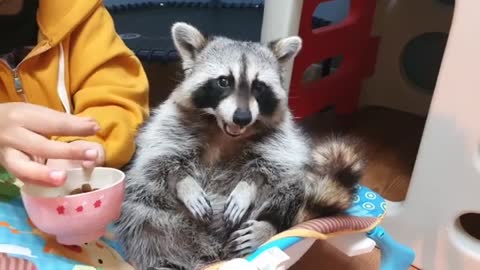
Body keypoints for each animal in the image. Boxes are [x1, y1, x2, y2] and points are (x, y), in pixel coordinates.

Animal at [114, 21, 366, 270]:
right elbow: (161, 157)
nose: (242, 117)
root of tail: (214, 248)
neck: (224, 130)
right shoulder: (170, 124)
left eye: (259, 86)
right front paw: (186, 183)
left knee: (290, 187)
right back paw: (164, 260)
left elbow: (273, 165)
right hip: (156, 212)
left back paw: (269, 226)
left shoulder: (280, 138)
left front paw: (248, 186)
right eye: (224, 81)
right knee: (145, 217)